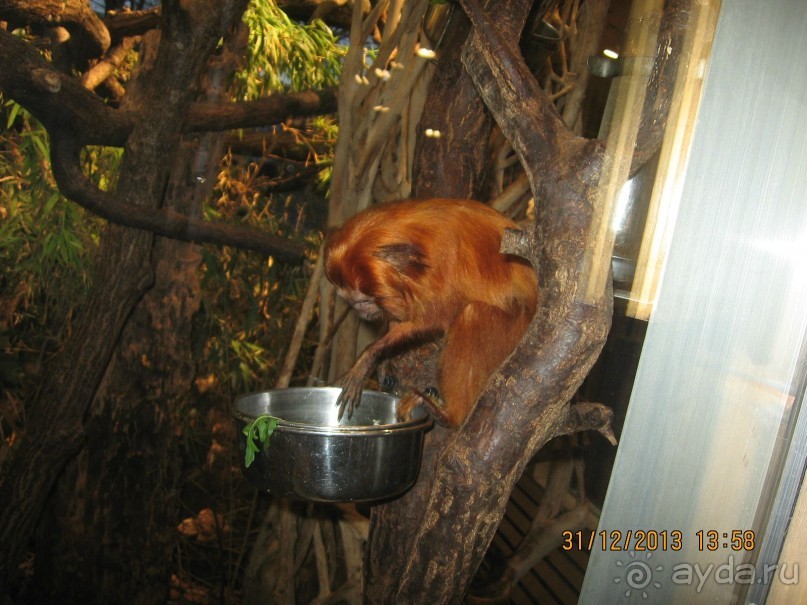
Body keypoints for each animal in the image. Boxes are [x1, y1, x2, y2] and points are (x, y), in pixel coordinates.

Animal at [322, 198, 536, 424]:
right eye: (351, 302)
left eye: (363, 301)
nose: (360, 313)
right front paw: (385, 358)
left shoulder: (445, 258)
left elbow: (437, 317)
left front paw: (368, 357)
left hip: (515, 330)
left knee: (472, 314)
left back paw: (450, 414)